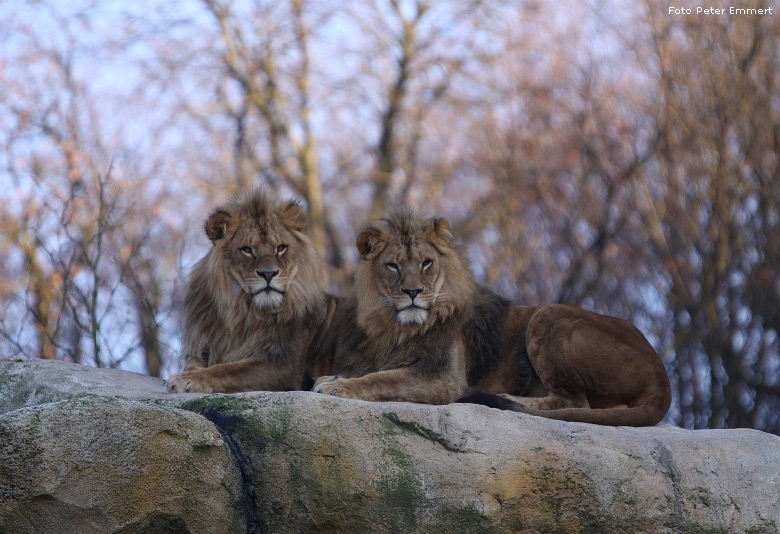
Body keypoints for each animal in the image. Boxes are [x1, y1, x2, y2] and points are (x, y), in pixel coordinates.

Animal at [168, 191, 338, 396]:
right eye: (247, 250)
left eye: (281, 248)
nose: (268, 273)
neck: (243, 314)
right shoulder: (204, 347)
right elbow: (194, 364)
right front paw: (187, 373)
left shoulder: (285, 366)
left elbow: (228, 369)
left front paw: (186, 379)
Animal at [314, 208, 672, 428]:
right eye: (393, 266)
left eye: (427, 263)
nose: (413, 291)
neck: (398, 327)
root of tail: (661, 374)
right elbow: (377, 371)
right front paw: (332, 377)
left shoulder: (443, 379)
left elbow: (381, 379)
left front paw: (338, 386)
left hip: (548, 315)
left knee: (577, 403)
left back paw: (504, 398)